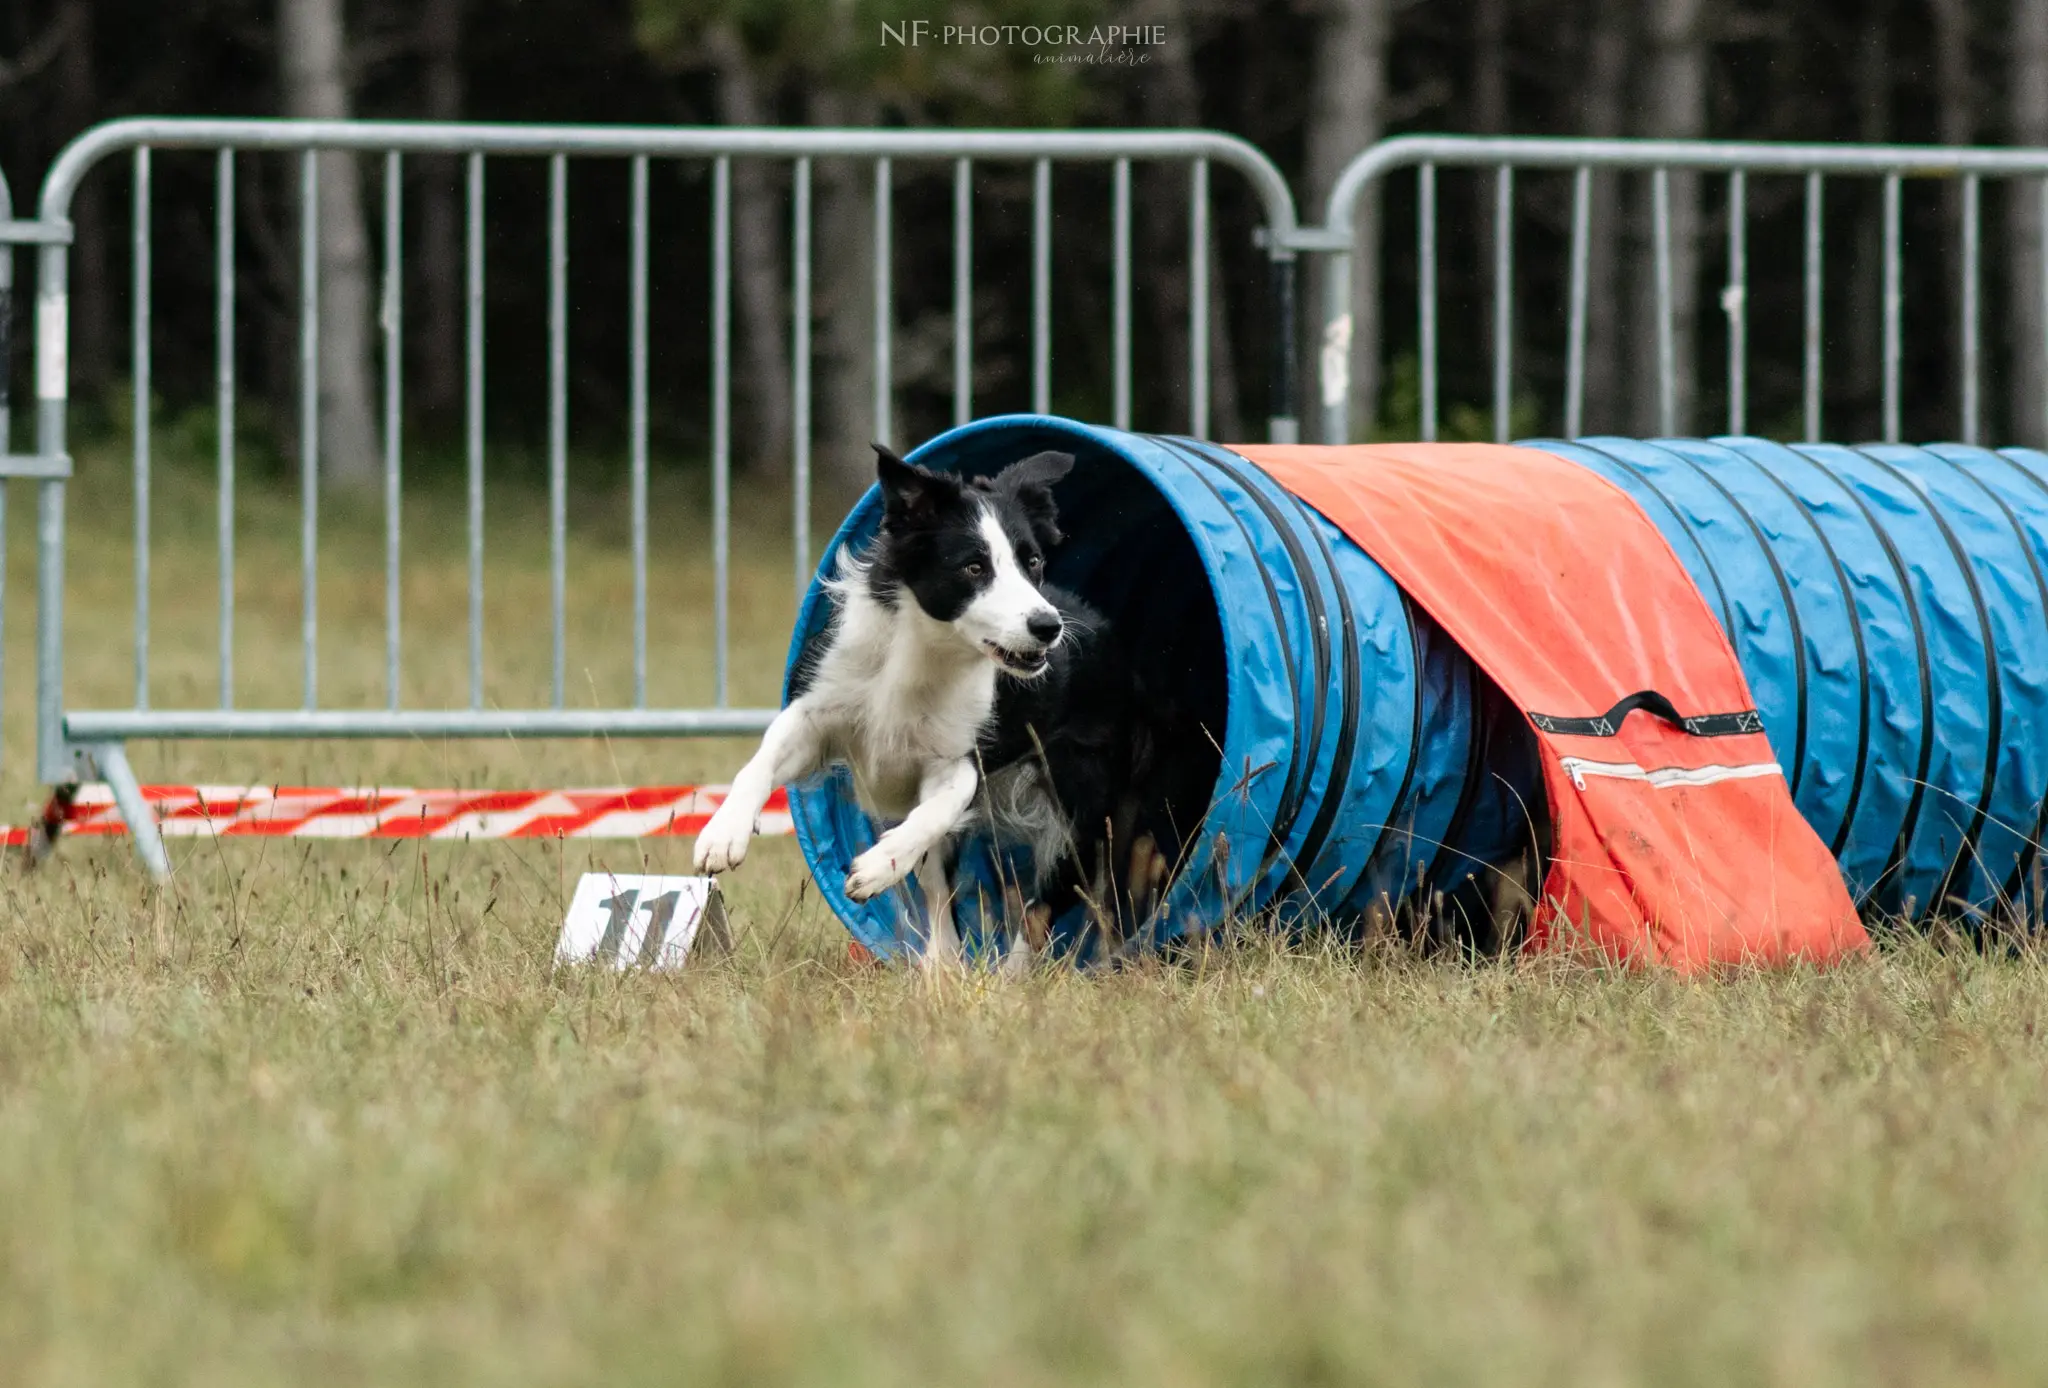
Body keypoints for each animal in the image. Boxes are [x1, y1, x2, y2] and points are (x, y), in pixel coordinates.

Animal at [696, 446, 1171, 966]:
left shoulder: (957, 755)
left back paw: (1010, 975)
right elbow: (758, 764)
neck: (928, 647)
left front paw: (879, 865)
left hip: (1079, 794)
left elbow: (940, 810)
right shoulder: (819, 709)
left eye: (1033, 562)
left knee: (1045, 903)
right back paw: (943, 967)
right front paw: (722, 836)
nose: (1048, 627)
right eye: (974, 568)